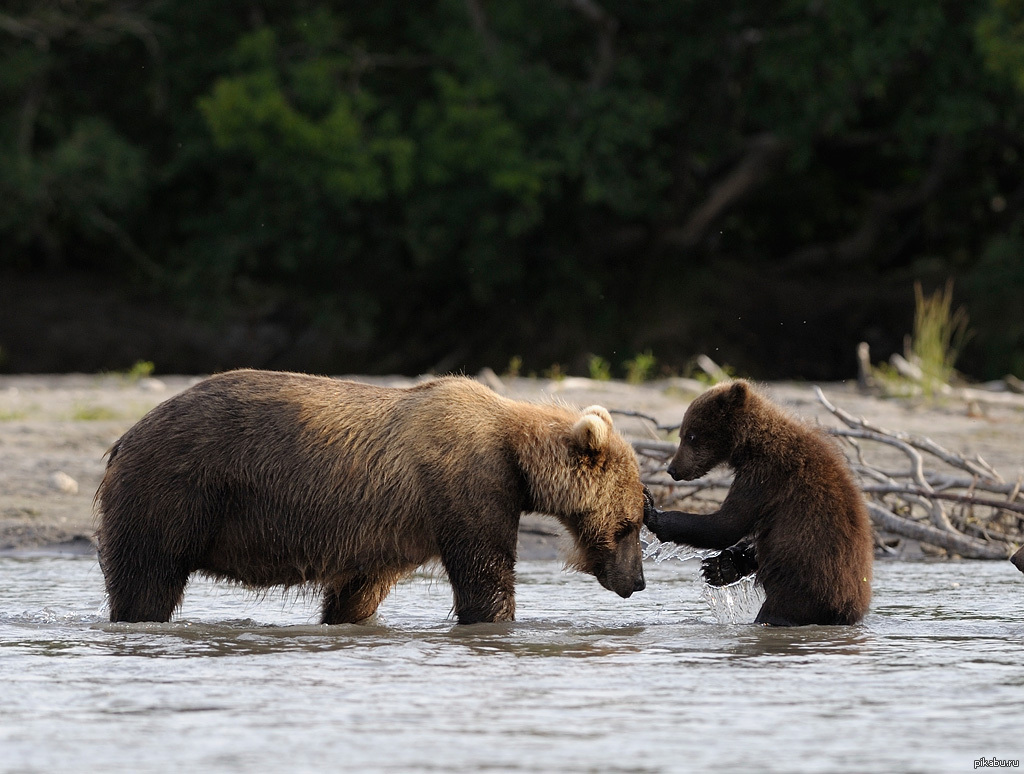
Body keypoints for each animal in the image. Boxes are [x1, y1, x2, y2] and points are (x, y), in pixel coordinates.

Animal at [92, 368, 643, 622]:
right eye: (631, 523)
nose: (635, 582)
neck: (514, 455)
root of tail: (124, 439)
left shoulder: (386, 531)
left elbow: (358, 589)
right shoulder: (468, 486)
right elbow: (484, 576)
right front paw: (495, 619)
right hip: (175, 491)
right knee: (148, 577)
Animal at [643, 378, 868, 626]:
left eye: (690, 435)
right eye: (683, 433)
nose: (672, 469)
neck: (750, 445)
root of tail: (850, 610)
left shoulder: (764, 476)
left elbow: (726, 524)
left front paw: (652, 512)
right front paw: (720, 567)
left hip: (803, 588)